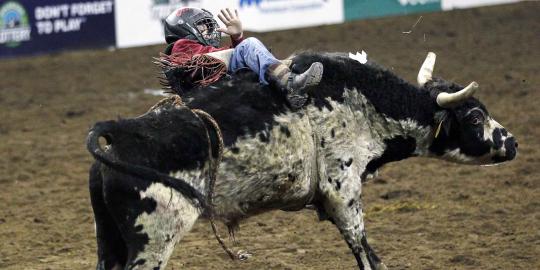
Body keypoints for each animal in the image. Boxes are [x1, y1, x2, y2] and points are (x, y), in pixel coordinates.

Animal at [88, 51, 520, 268]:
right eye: (474, 117)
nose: (513, 143)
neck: (364, 102)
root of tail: (118, 135)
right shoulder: (342, 190)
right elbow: (365, 252)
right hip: (154, 239)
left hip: (110, 239)